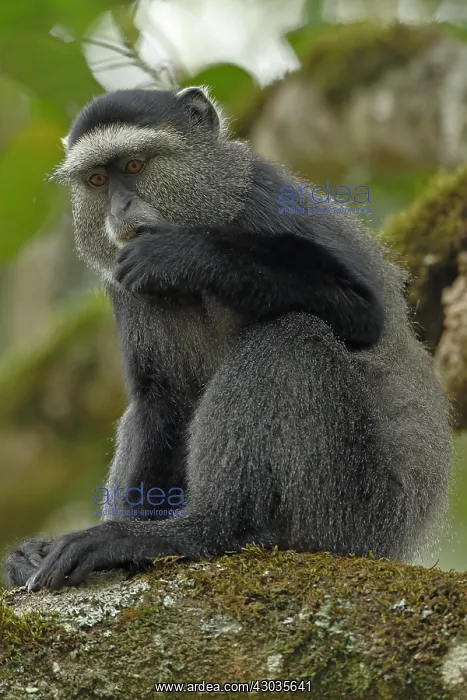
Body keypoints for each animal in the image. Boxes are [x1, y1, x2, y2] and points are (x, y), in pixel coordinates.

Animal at [3, 86, 452, 591]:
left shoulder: (265, 200)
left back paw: (201, 532)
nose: (119, 210)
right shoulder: (122, 281)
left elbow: (367, 312)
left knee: (290, 338)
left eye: (135, 166)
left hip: (352, 508)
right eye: (97, 180)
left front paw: (182, 254)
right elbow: (162, 400)